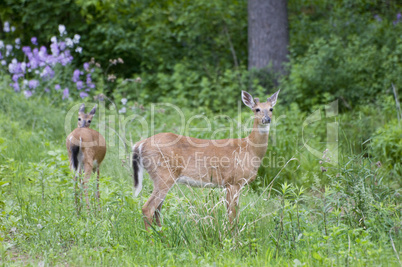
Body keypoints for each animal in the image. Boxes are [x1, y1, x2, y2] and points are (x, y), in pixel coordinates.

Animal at [132, 90, 280, 230]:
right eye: (257, 109)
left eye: (271, 109)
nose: (266, 119)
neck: (249, 149)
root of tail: (140, 144)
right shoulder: (233, 181)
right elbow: (232, 216)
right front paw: (233, 238)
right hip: (164, 174)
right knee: (148, 208)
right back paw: (151, 237)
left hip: (162, 177)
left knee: (157, 209)